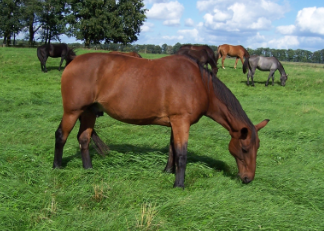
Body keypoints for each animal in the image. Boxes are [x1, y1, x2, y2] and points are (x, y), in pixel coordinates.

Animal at [54, 53, 270, 189]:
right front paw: (179, 184)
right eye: (245, 149)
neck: (200, 84)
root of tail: (73, 62)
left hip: (89, 112)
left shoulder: (175, 123)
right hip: (72, 111)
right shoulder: (181, 121)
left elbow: (172, 148)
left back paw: (88, 169)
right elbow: (182, 154)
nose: (248, 179)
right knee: (61, 135)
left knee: (84, 139)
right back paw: (57, 167)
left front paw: (167, 171)